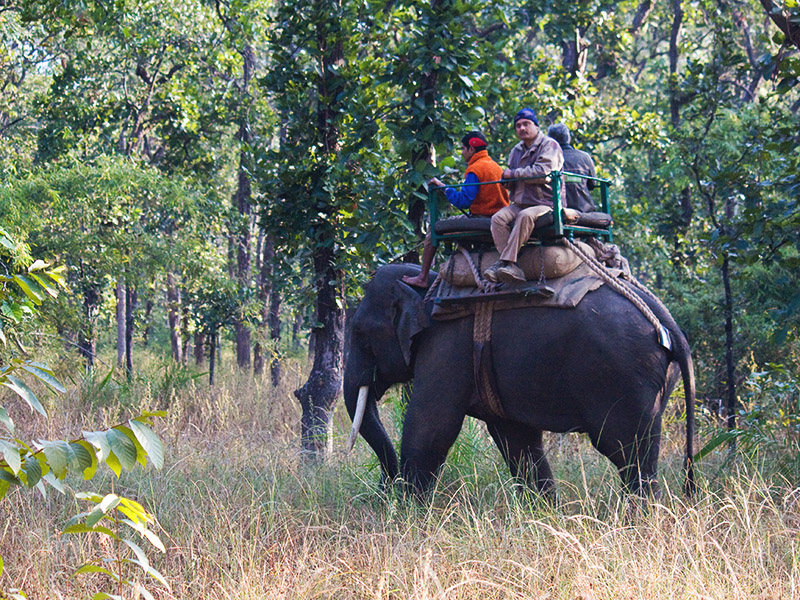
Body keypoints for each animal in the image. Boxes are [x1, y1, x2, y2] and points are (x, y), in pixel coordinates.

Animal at [344, 262, 692, 496]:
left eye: (360, 332)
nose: (383, 487)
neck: (427, 285)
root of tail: (667, 322)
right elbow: (516, 439)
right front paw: (543, 514)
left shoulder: (446, 347)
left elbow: (431, 425)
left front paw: (408, 514)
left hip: (623, 378)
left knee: (629, 453)